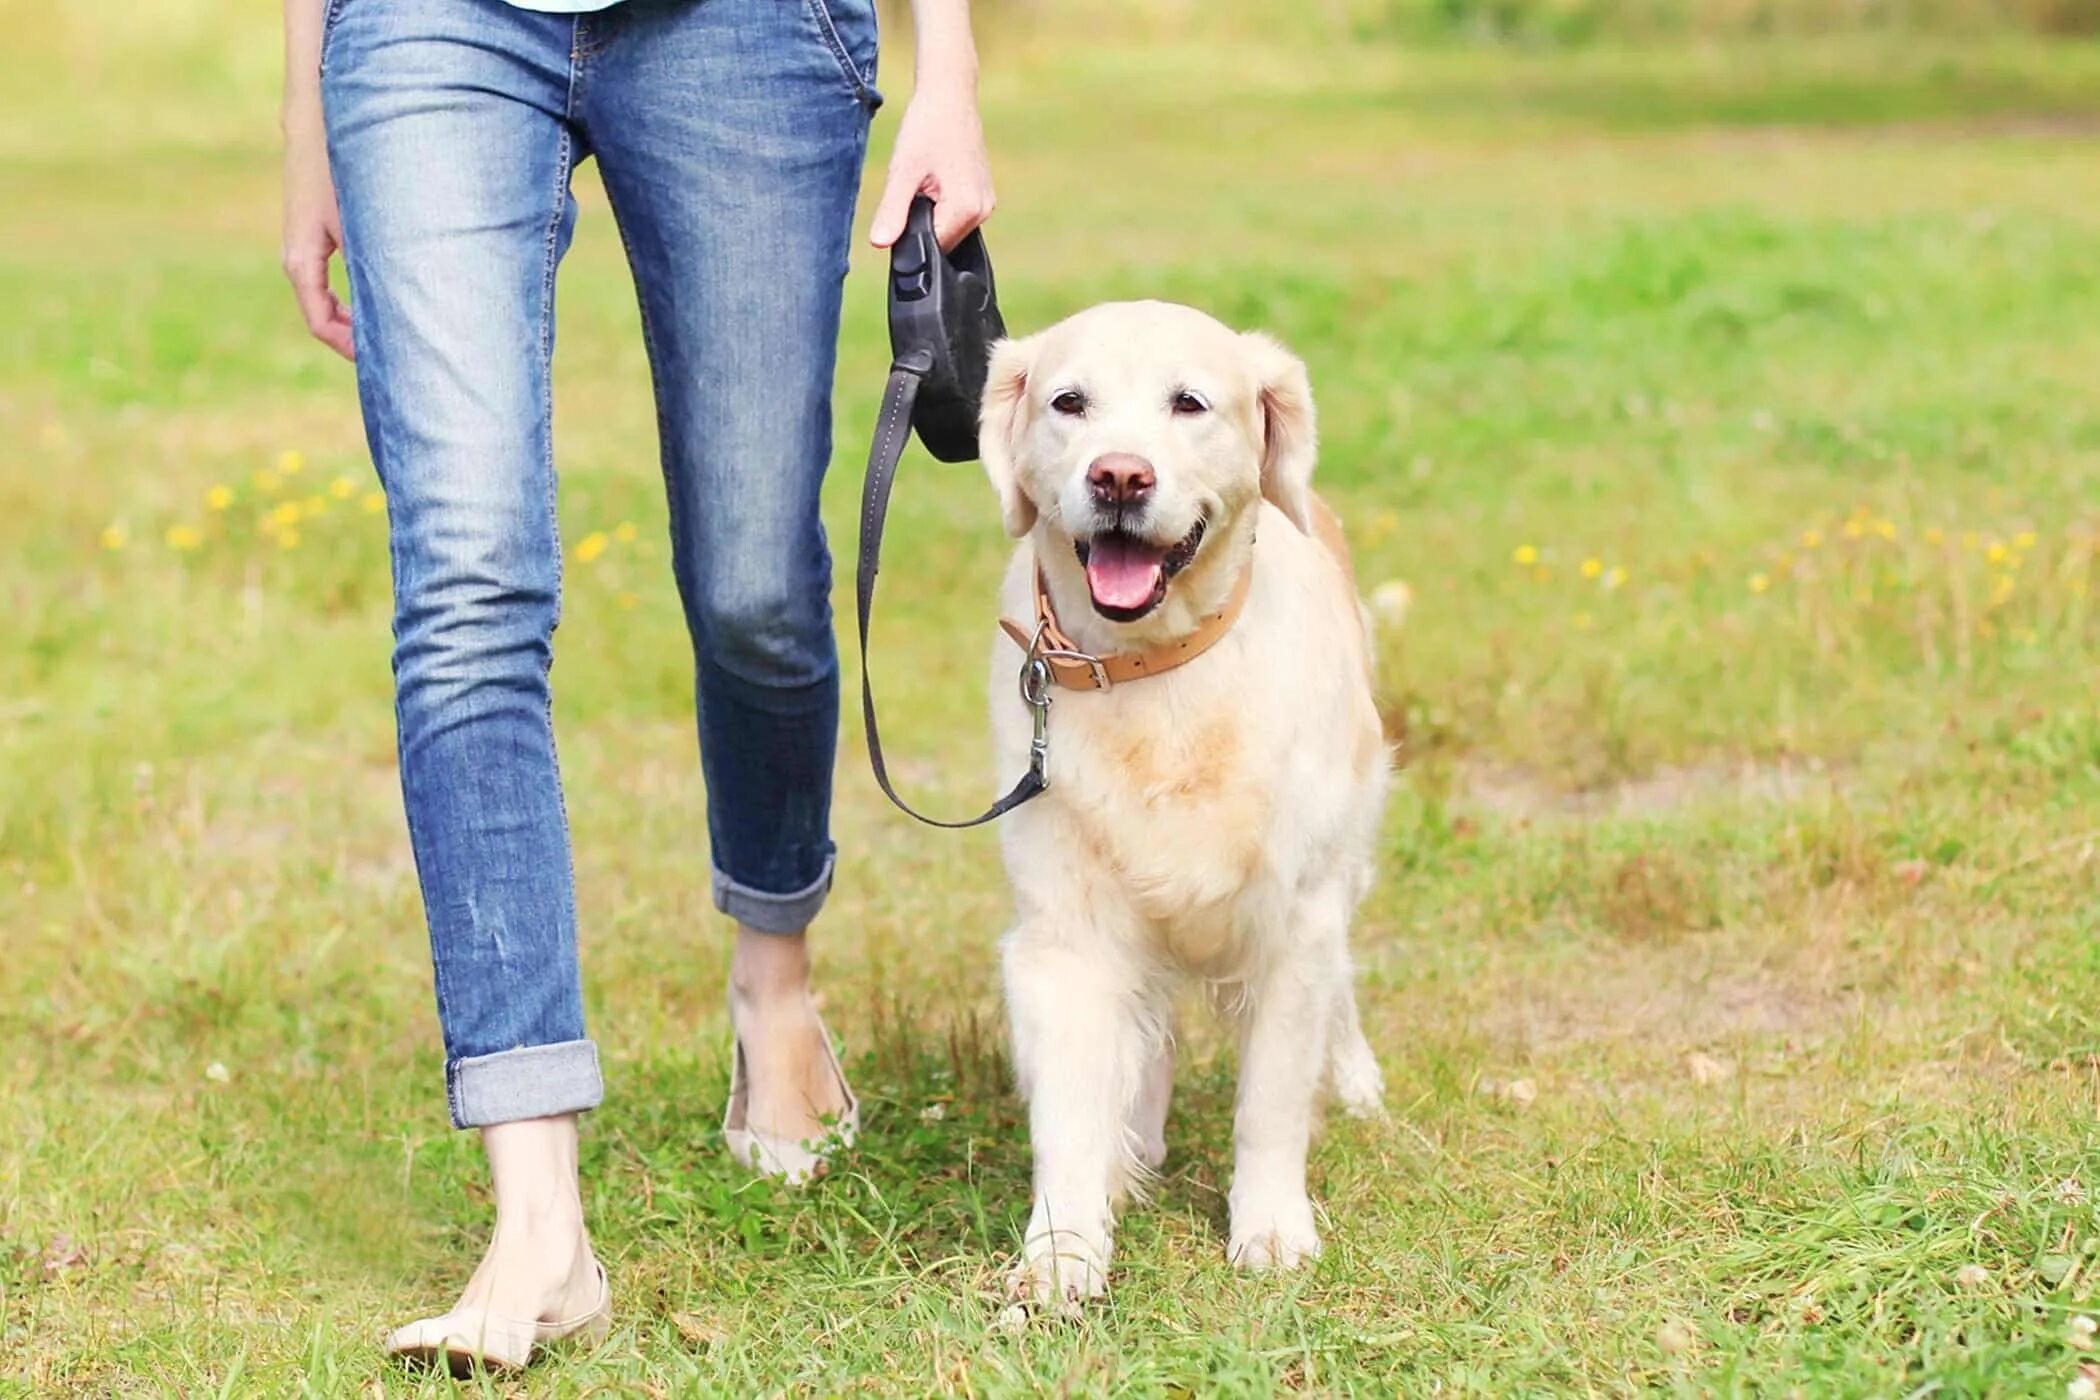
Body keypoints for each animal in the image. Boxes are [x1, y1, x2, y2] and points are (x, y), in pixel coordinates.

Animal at [982, 302, 1394, 1309]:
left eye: (1190, 403)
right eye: (1069, 402)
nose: (1120, 476)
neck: (1155, 670)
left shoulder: (1297, 918)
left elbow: (1272, 1101)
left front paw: (1272, 1229)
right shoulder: (1064, 931)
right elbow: (1069, 1110)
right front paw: (1063, 1251)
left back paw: (1355, 1080)